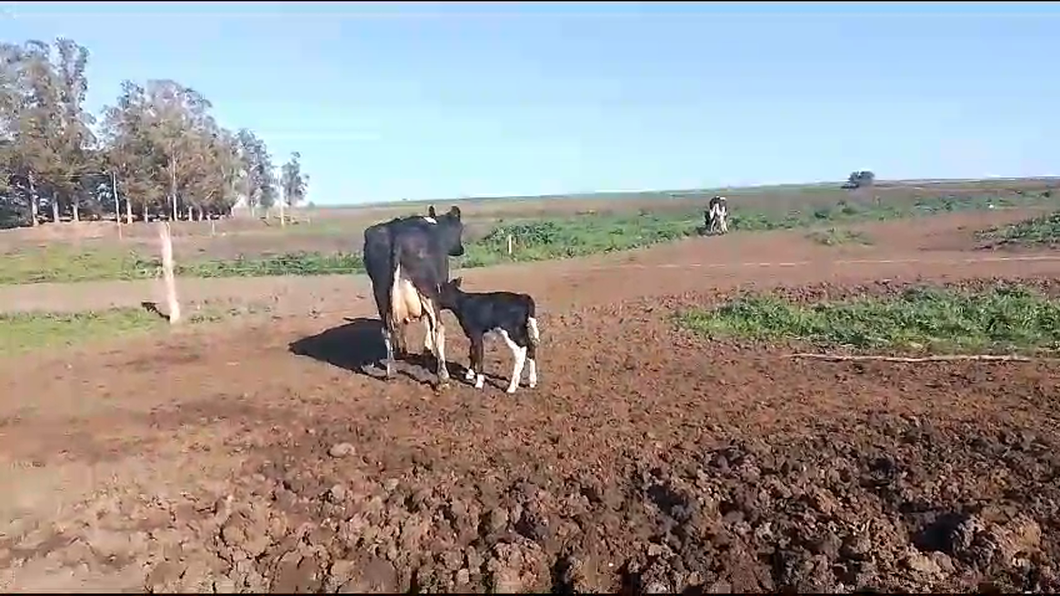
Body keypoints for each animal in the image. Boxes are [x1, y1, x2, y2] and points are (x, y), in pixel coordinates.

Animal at [364, 202, 464, 386]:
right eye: (460, 228)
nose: (460, 249)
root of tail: (397, 232)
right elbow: (428, 323)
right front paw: (427, 349)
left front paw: (403, 348)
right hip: (427, 290)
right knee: (438, 326)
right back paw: (443, 376)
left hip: (380, 293)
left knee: (387, 330)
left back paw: (391, 371)